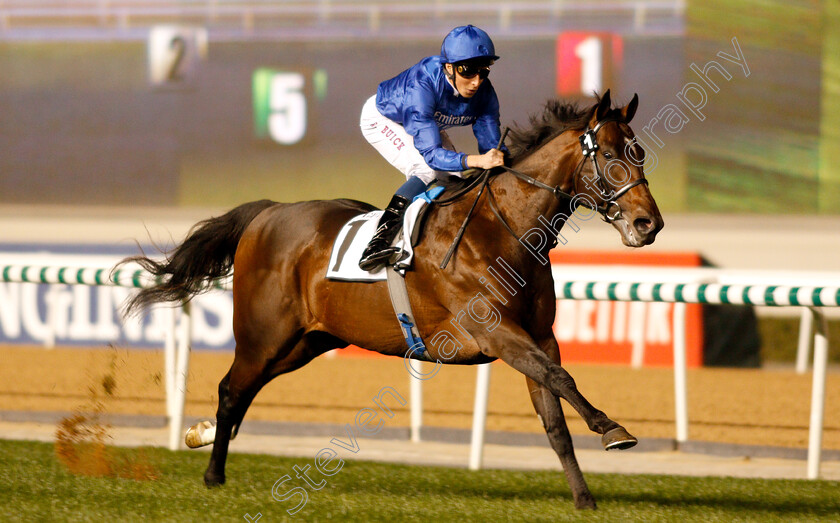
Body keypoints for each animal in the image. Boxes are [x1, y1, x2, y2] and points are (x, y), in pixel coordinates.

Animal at [123, 91, 664, 512]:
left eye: (638, 152)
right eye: (608, 155)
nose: (649, 224)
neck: (503, 228)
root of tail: (267, 213)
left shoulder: (539, 335)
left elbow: (554, 418)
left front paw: (584, 498)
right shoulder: (497, 332)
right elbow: (562, 378)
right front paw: (613, 429)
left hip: (305, 342)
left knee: (243, 391)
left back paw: (200, 437)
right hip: (264, 335)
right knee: (232, 390)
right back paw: (213, 472)